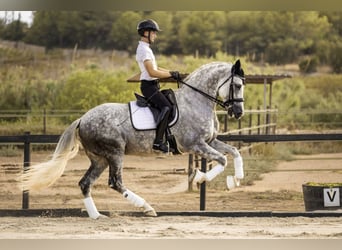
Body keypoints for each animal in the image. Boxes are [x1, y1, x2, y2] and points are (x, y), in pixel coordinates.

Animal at [20, 59, 246, 218]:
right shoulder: (195, 144)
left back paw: (96, 215)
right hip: (115, 153)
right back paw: (146, 207)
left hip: (100, 159)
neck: (196, 101)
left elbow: (234, 153)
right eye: (237, 85)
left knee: (85, 183)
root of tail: (82, 119)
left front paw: (235, 179)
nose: (238, 113)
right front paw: (200, 178)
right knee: (115, 182)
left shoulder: (210, 141)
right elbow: (222, 160)